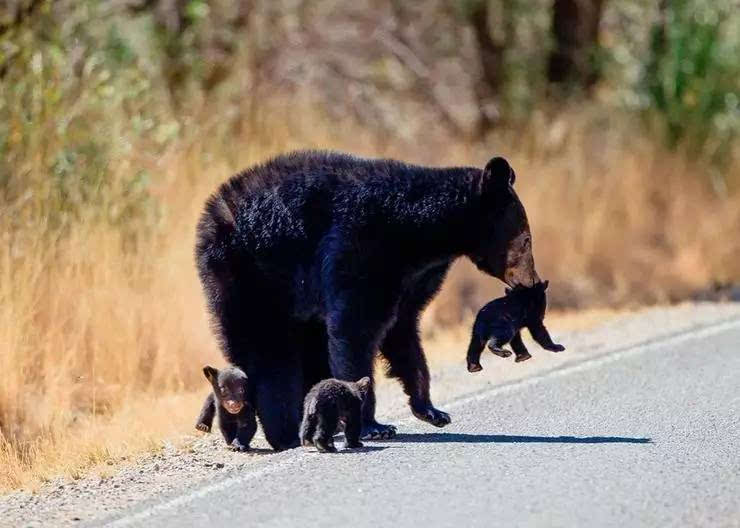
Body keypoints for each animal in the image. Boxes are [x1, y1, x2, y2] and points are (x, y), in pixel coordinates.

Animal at [195, 151, 536, 452]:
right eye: (526, 239)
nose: (530, 282)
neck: (417, 232)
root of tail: (208, 217)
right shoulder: (360, 245)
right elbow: (354, 327)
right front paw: (374, 425)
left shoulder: (413, 277)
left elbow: (402, 331)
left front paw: (431, 410)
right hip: (249, 277)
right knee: (269, 352)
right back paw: (284, 432)